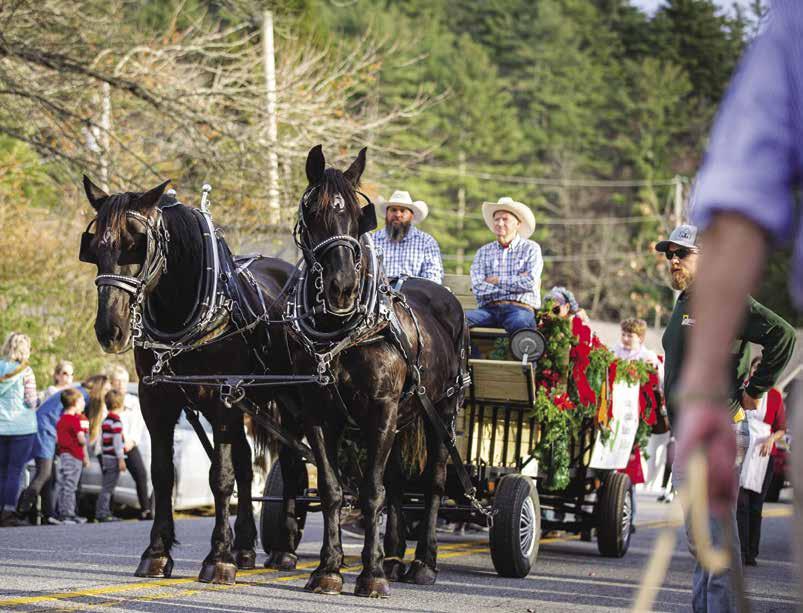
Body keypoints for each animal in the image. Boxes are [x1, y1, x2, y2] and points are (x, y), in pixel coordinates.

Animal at [79, 176, 297, 584]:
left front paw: (219, 558)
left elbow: (220, 477)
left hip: (289, 402)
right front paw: (157, 552)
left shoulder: (223, 400)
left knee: (293, 460)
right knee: (248, 465)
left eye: (137, 242)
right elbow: (163, 474)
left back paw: (285, 547)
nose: (110, 330)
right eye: (95, 246)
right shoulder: (156, 402)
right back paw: (246, 546)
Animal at [280, 145, 468, 597]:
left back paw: (423, 563)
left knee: (433, 483)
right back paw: (396, 556)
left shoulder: (380, 409)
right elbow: (332, 489)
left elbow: (370, 491)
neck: (343, 333)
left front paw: (371, 575)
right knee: (399, 484)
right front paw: (329, 569)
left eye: (356, 214)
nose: (343, 286)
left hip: (443, 412)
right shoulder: (318, 413)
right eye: (312, 211)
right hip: (405, 417)